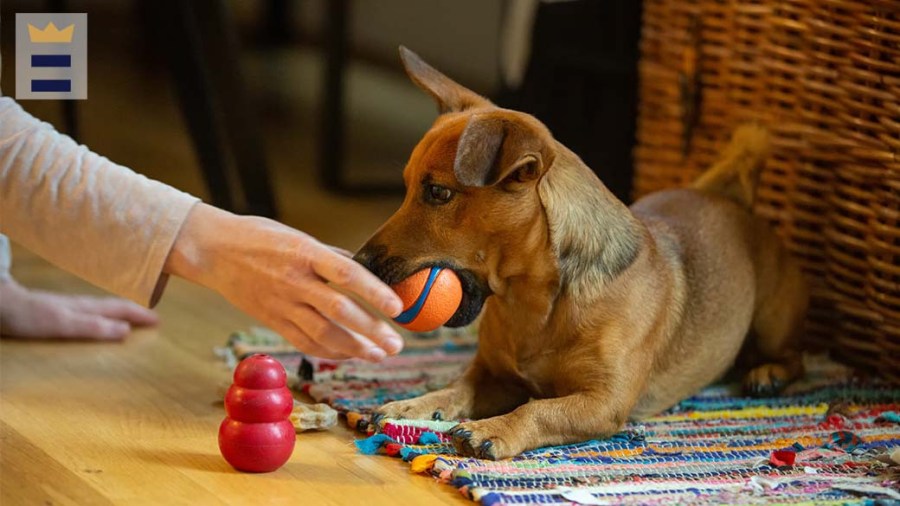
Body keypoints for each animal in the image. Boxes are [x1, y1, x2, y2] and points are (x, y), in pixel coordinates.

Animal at [354, 48, 808, 462]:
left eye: (439, 193)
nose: (358, 265)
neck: (533, 303)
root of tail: (730, 199)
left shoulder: (602, 402)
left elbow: (539, 410)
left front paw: (494, 428)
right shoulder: (493, 375)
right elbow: (455, 388)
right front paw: (413, 407)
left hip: (771, 321)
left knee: (796, 358)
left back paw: (767, 374)